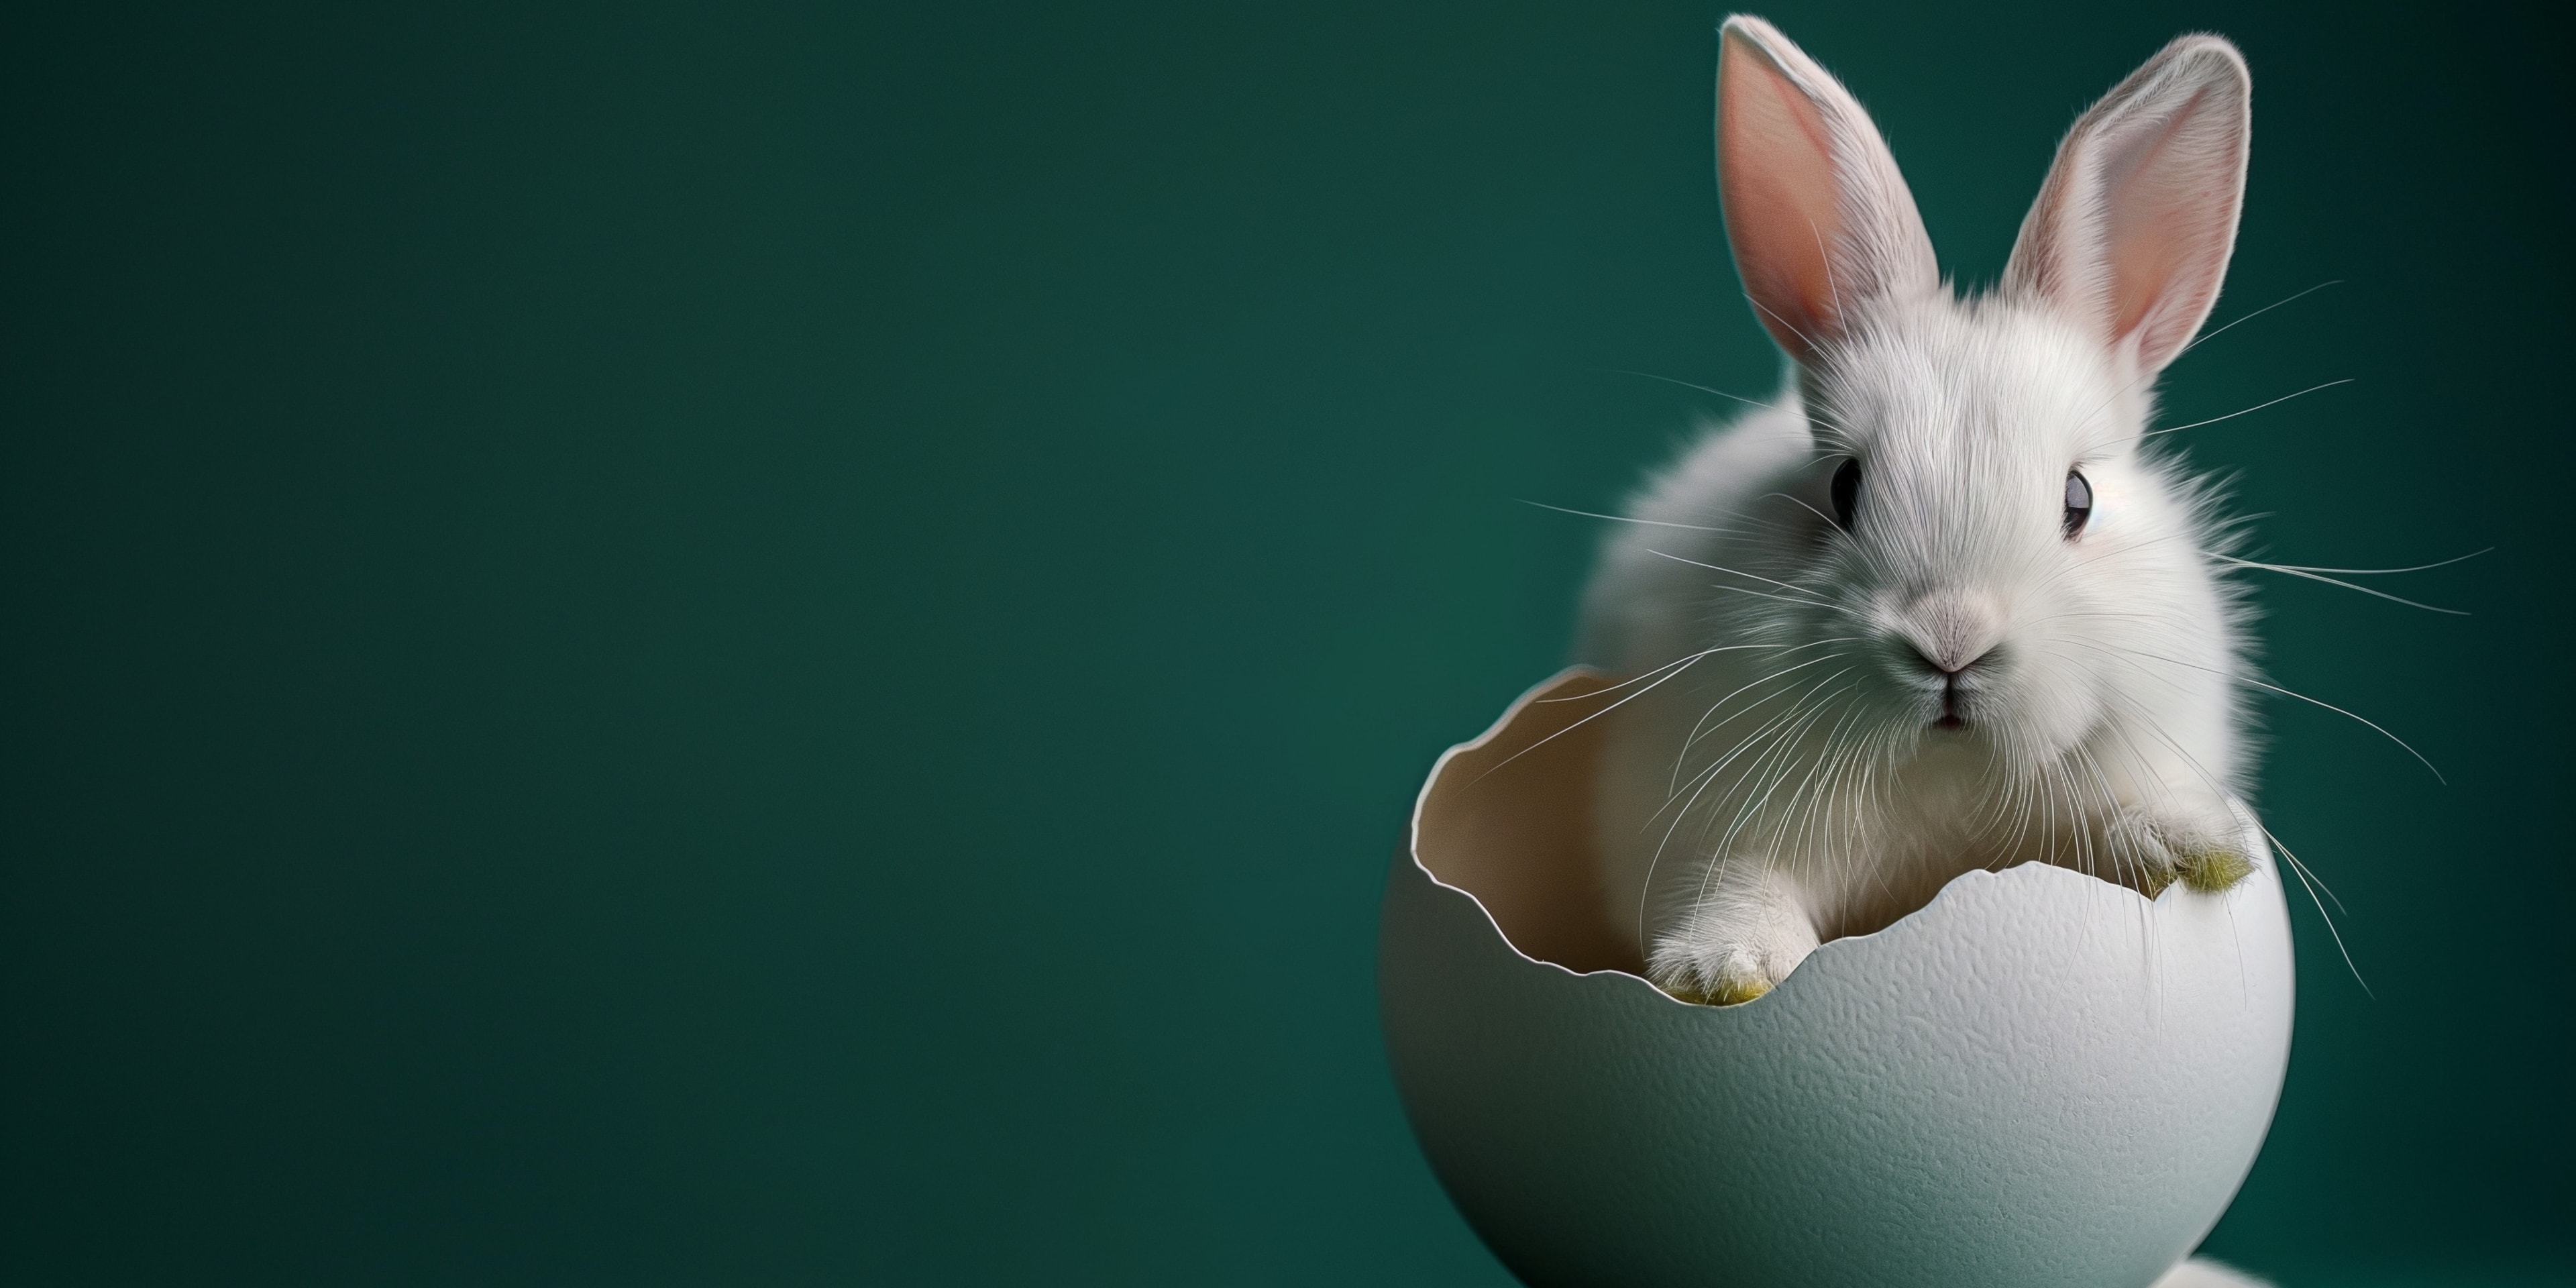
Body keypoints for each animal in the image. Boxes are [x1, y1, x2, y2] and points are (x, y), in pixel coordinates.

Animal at [1577, 15, 2260, 1007]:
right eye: (1843, 488)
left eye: (2079, 498)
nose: (1950, 643)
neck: (1947, 772)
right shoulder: (1700, 816)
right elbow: (1735, 881)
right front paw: (1724, 970)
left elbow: (2128, 812)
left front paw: (2197, 849)